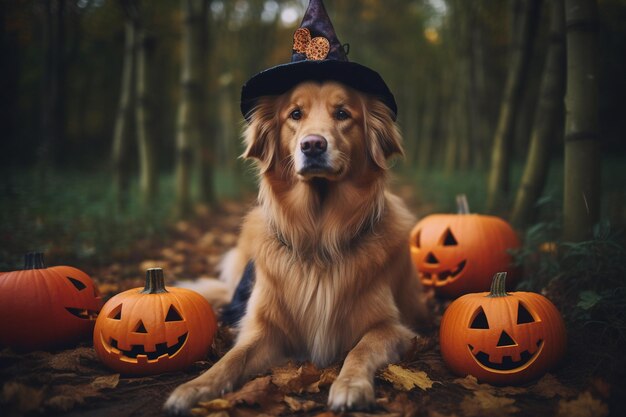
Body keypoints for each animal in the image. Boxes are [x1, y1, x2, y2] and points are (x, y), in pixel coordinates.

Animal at [165, 80, 428, 412]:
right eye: (295, 114)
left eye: (342, 113)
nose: (313, 145)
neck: (318, 239)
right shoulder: (266, 328)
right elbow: (232, 357)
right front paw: (195, 387)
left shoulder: (393, 328)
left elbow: (361, 350)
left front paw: (350, 385)